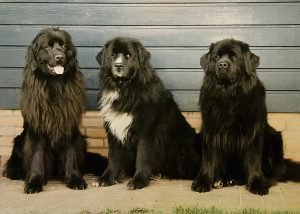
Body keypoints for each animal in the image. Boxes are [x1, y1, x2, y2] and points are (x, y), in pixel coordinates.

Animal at [2, 27, 106, 194]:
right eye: (48, 47)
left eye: (63, 46)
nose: (60, 58)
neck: (54, 84)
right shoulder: (37, 128)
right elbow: (37, 156)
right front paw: (34, 181)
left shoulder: (69, 126)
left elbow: (71, 155)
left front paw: (74, 178)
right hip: (19, 140)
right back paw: (18, 173)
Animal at [93, 37, 202, 190]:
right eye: (112, 55)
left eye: (128, 55)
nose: (118, 65)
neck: (125, 90)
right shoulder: (113, 129)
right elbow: (113, 157)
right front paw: (106, 178)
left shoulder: (146, 131)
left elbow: (143, 157)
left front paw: (138, 181)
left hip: (182, 154)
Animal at [191, 38, 290, 196]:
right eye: (217, 57)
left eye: (235, 57)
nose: (222, 65)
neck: (229, 95)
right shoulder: (210, 130)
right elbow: (209, 159)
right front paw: (203, 181)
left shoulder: (253, 132)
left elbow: (254, 160)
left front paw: (257, 183)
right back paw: (221, 180)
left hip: (275, 138)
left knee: (275, 172)